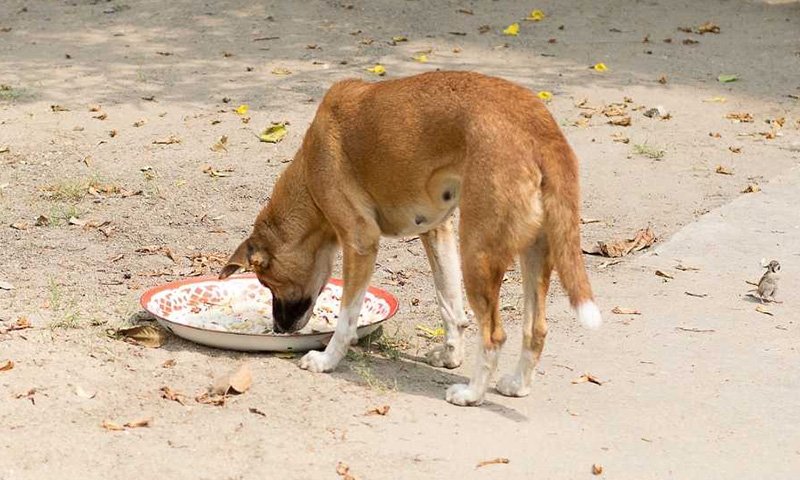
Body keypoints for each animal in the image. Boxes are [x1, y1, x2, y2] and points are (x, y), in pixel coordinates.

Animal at [219, 71, 600, 406]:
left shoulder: (360, 242)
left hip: (477, 253)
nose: (279, 330)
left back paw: (472, 394)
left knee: (494, 335)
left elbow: (346, 319)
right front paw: (450, 356)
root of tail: (541, 129)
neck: (310, 177)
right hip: (533, 254)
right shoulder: (436, 232)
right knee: (535, 329)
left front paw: (327, 361)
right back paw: (517, 384)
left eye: (268, 283)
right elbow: (450, 307)